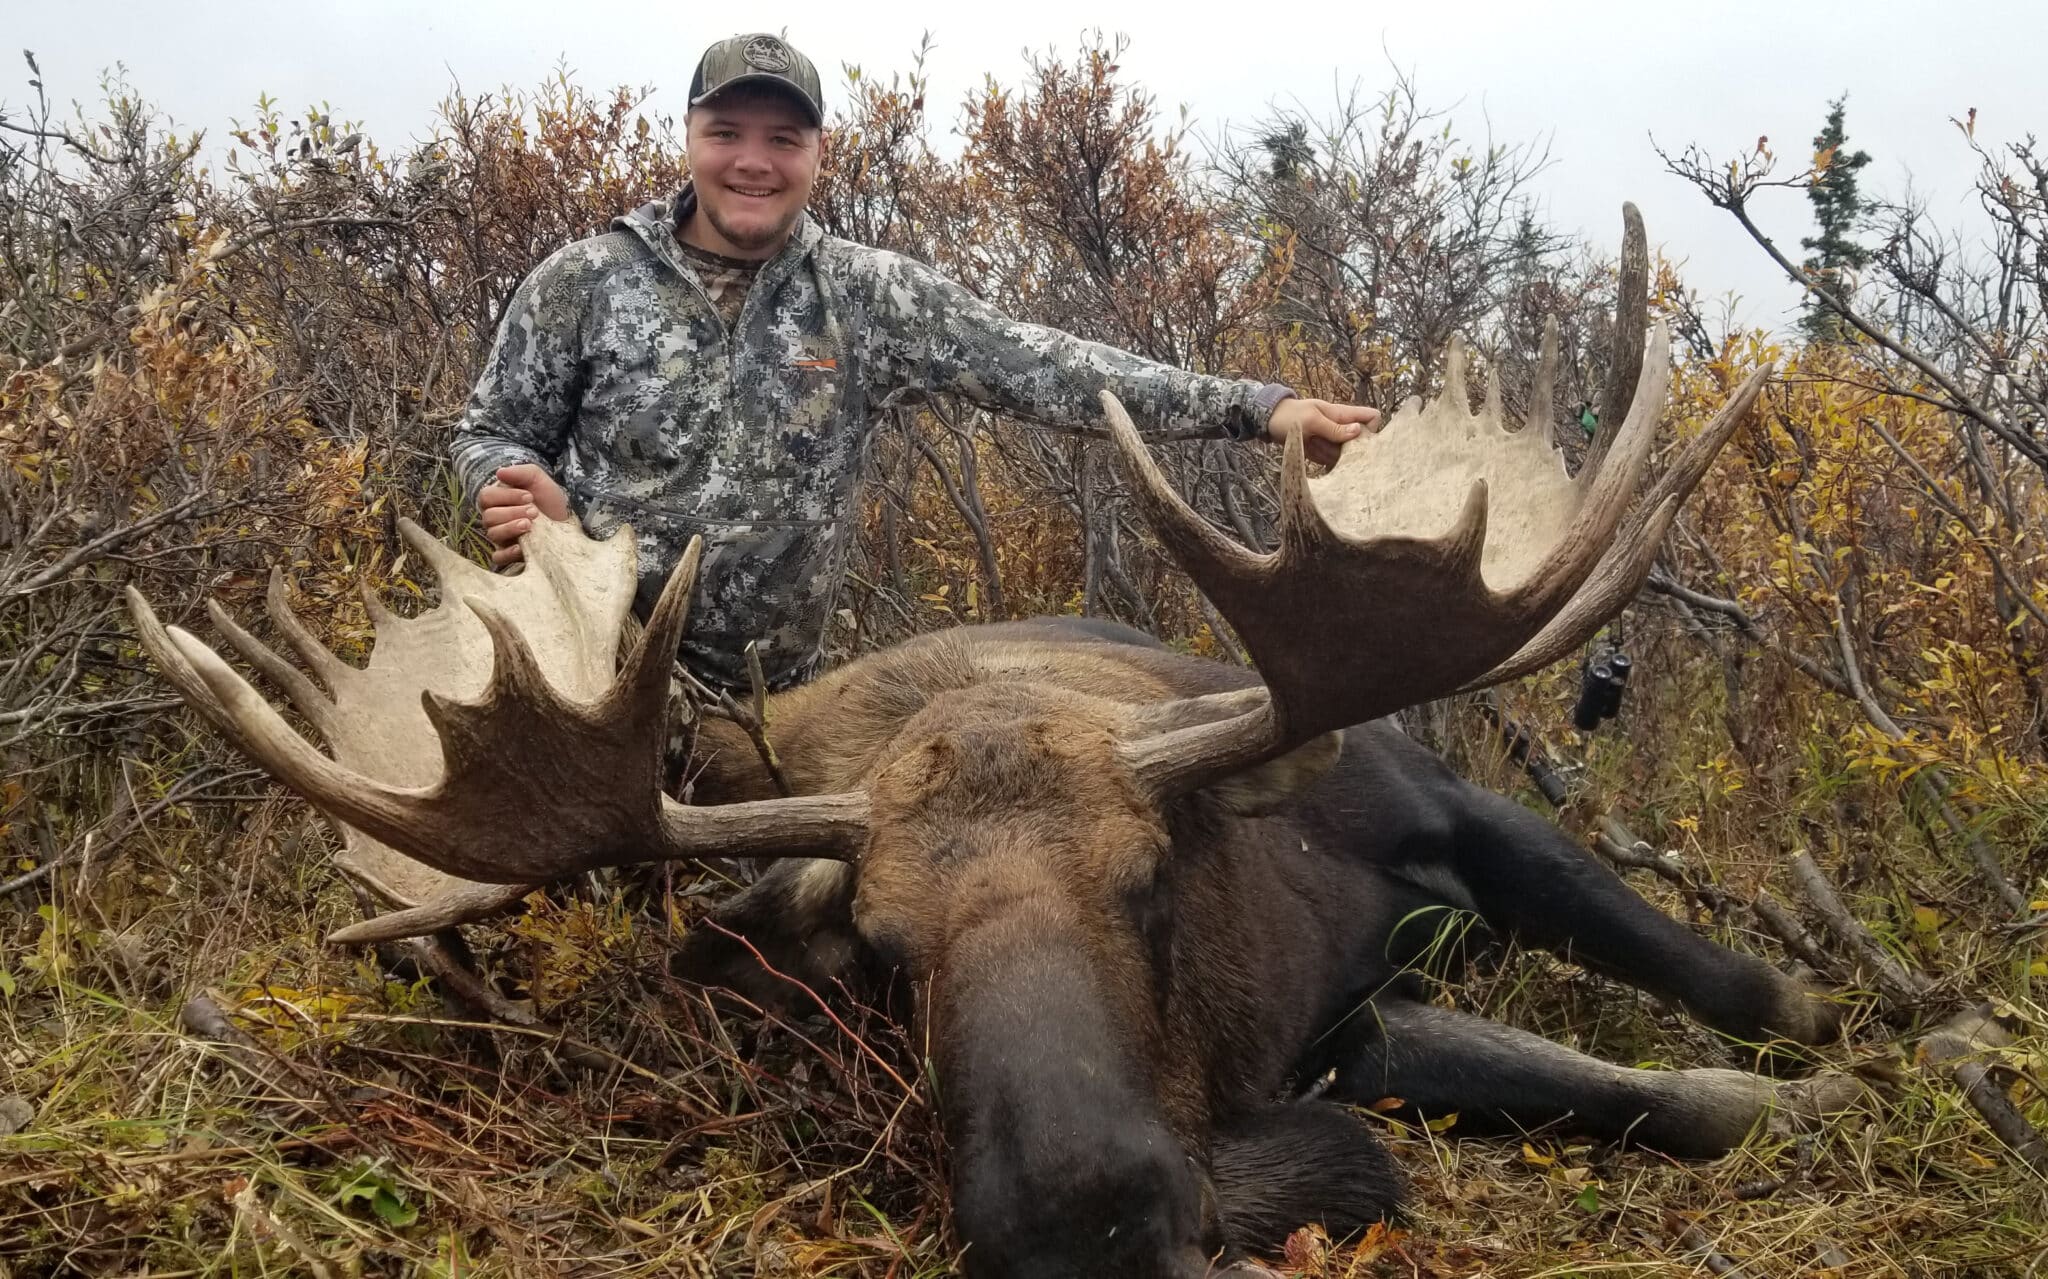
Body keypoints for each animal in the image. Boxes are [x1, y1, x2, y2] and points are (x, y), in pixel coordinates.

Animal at [123, 209, 1859, 1276]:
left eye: (1154, 876)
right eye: (881, 950)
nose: (1083, 1222)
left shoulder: (1440, 798)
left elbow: (1736, 993)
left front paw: (1863, 1049)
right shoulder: (1331, 1042)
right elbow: (1432, 1123)